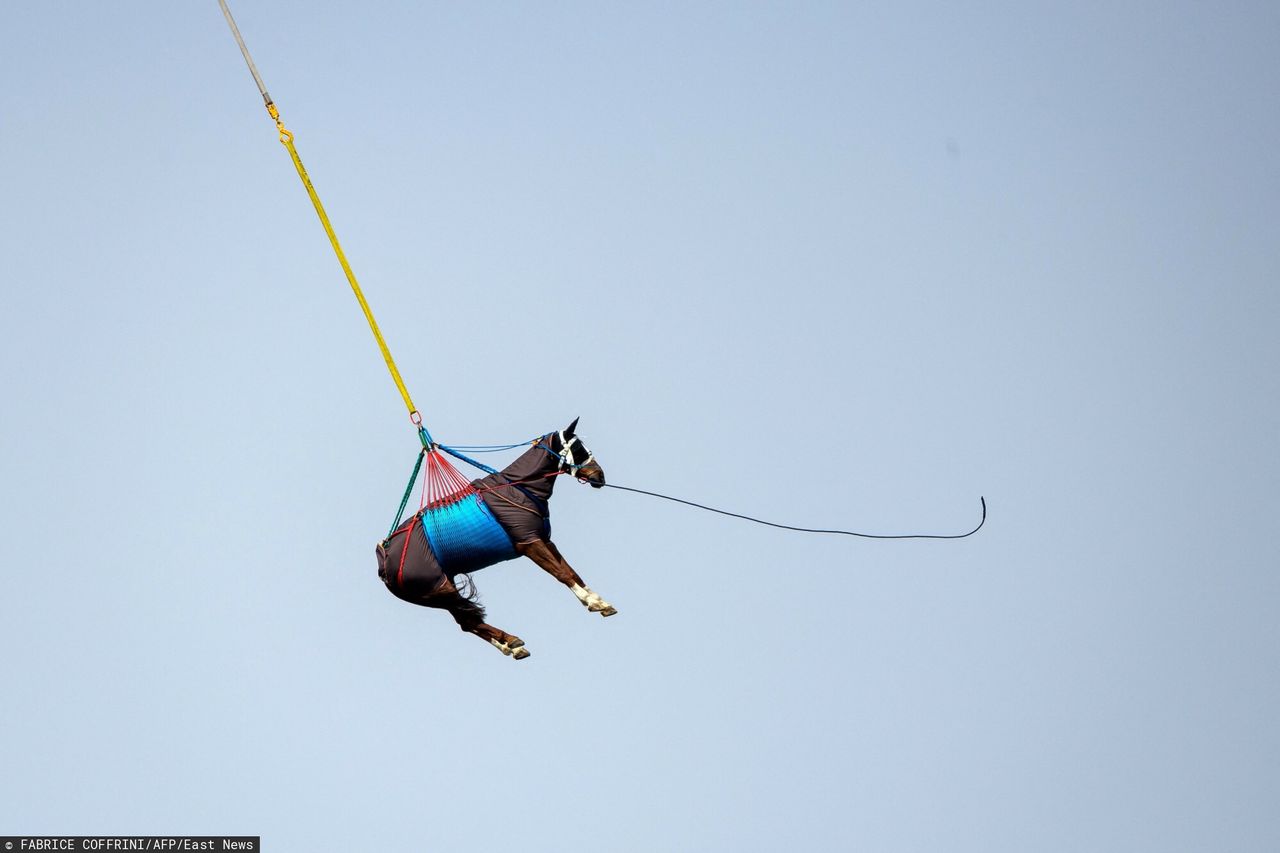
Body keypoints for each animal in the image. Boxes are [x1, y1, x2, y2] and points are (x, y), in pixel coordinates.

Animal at [373, 417, 614, 655]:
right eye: (578, 449)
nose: (599, 476)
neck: (519, 488)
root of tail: (383, 560)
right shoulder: (529, 543)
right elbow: (561, 573)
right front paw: (592, 601)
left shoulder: (544, 540)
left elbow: (571, 571)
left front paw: (598, 601)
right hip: (439, 589)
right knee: (469, 621)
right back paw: (510, 642)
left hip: (439, 592)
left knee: (468, 622)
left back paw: (509, 643)